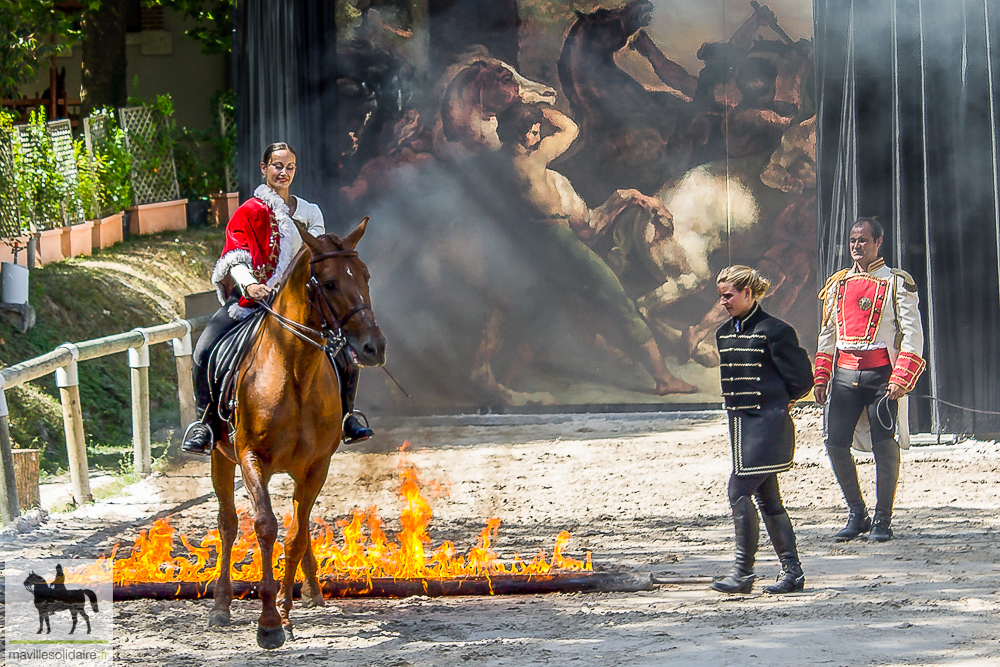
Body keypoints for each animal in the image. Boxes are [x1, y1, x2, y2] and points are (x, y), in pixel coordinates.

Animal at [208, 218, 386, 648]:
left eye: (366, 276)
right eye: (330, 283)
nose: (374, 347)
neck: (294, 370)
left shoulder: (317, 465)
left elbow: (295, 535)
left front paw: (285, 615)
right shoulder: (250, 457)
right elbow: (265, 526)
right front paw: (269, 623)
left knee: (299, 525)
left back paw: (313, 592)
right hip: (220, 457)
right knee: (228, 524)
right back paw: (220, 605)